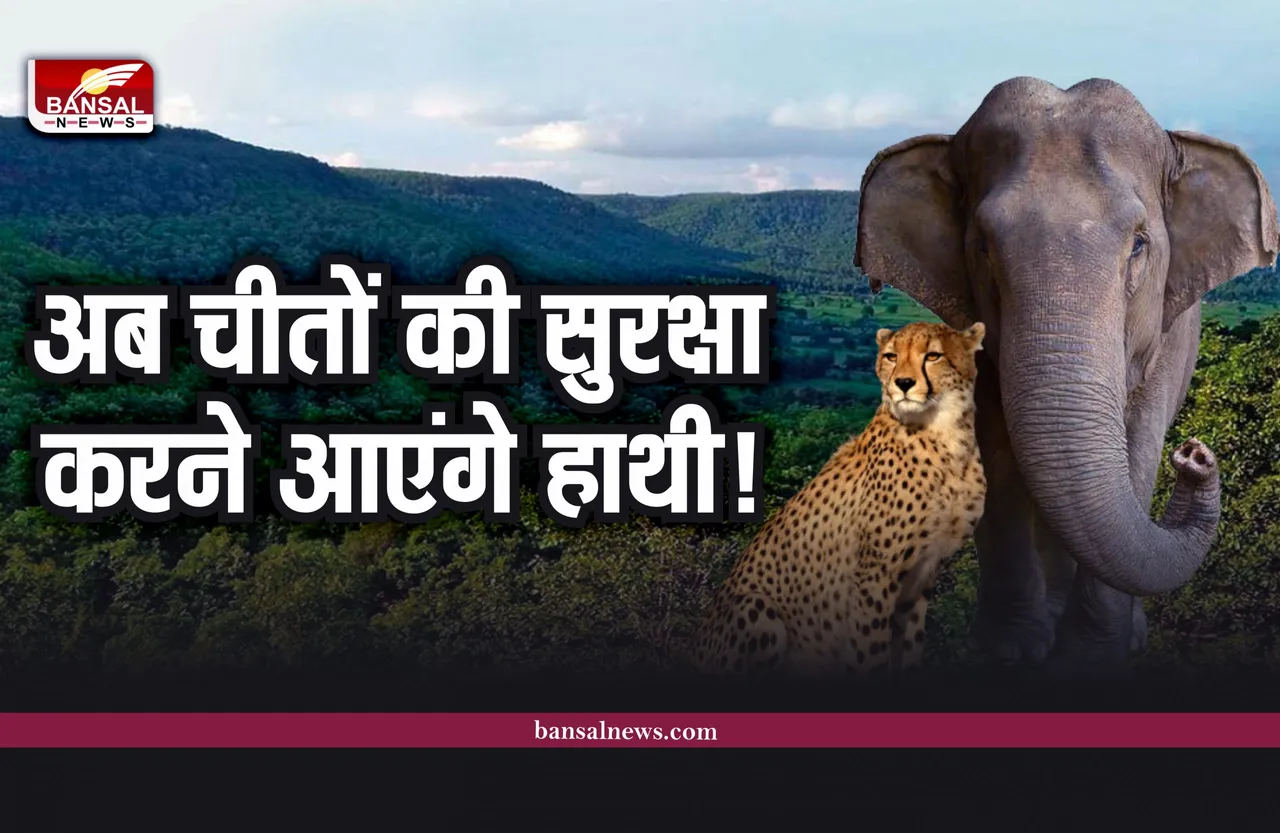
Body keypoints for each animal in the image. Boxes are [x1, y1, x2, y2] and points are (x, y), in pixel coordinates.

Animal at [853, 77, 1279, 671]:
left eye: (1140, 244)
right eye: (982, 247)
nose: (1196, 455)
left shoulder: (1165, 344)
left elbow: (1139, 447)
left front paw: (1092, 654)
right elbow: (995, 451)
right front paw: (1009, 649)